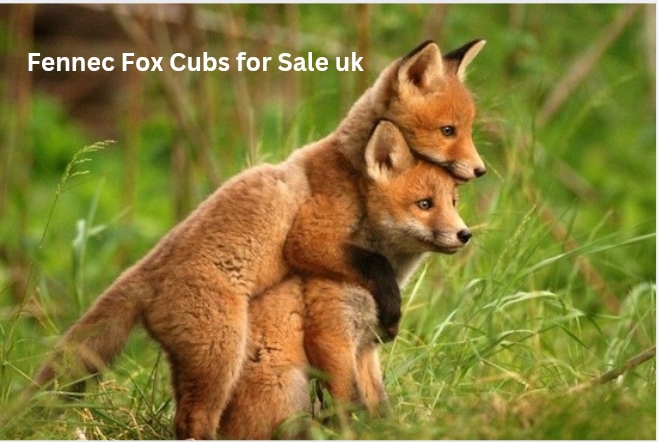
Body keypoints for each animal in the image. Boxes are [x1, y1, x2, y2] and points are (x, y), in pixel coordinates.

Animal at [220, 121, 470, 439]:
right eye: (424, 204)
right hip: (289, 389)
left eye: (453, 203)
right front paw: (352, 433)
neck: (371, 287)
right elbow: (350, 401)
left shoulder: (366, 345)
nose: (465, 234)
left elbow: (379, 403)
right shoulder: (332, 335)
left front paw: (387, 430)